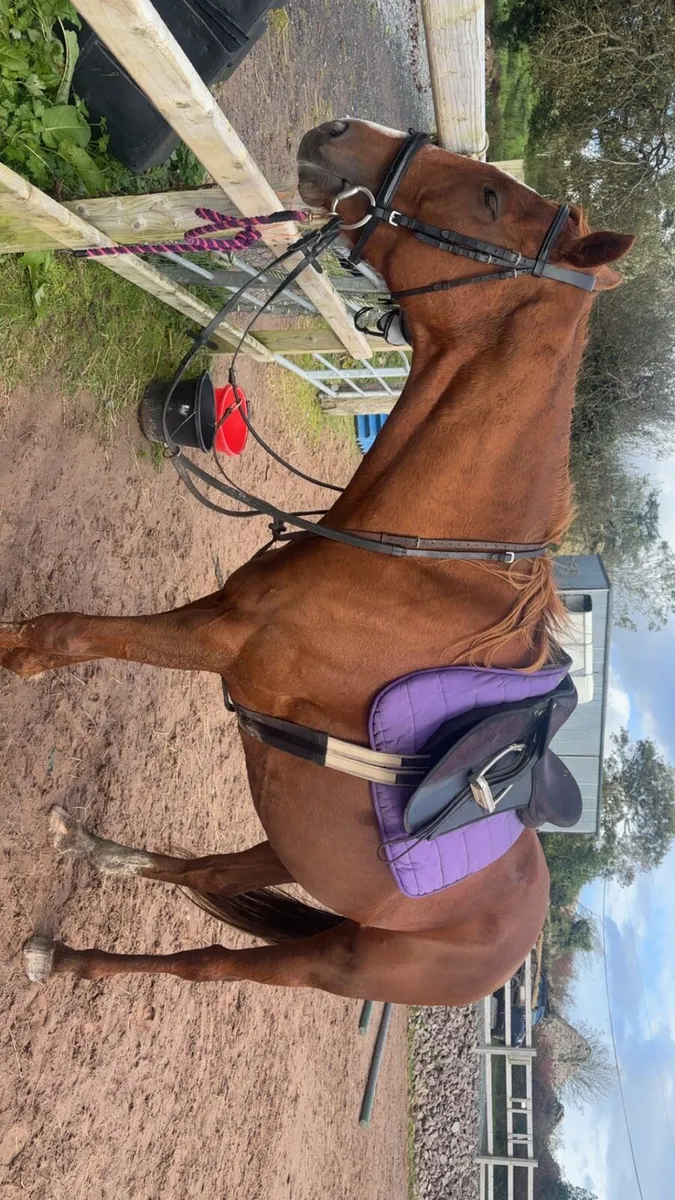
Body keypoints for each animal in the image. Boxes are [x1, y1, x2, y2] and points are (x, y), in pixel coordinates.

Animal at [2, 119, 634, 1005]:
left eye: (487, 197)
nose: (341, 133)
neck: (416, 566)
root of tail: (512, 951)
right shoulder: (221, 620)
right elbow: (80, 632)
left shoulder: (222, 639)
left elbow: (71, 634)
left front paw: (10, 653)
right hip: (289, 842)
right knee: (204, 872)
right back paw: (94, 853)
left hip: (330, 959)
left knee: (207, 961)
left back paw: (62, 957)